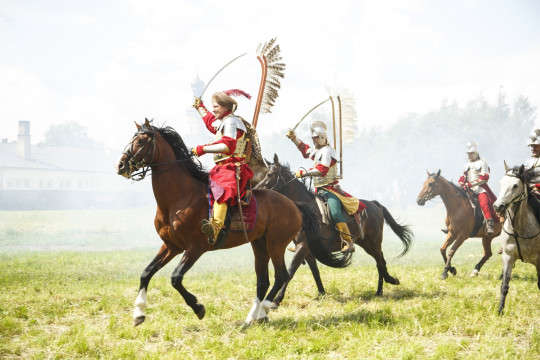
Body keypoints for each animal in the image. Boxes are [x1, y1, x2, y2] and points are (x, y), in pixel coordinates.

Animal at [114, 120, 350, 326]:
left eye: (141, 140)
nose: (121, 165)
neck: (179, 198)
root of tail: (295, 205)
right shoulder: (171, 246)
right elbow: (146, 273)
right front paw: (138, 313)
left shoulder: (195, 248)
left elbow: (175, 278)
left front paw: (198, 308)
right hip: (259, 244)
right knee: (263, 280)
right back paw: (252, 317)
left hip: (276, 244)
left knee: (281, 275)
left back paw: (263, 310)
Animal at [253, 153, 414, 306]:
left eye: (269, 174)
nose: (255, 190)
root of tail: (375, 205)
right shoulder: (307, 250)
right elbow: (315, 271)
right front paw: (321, 293)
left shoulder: (303, 247)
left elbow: (290, 272)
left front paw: (276, 300)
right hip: (366, 243)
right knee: (380, 262)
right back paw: (381, 289)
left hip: (374, 243)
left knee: (380, 262)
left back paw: (385, 285)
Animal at [494, 165, 540, 314]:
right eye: (501, 183)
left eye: (515, 185)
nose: (498, 206)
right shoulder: (508, 257)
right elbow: (504, 286)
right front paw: (500, 310)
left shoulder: (538, 260)